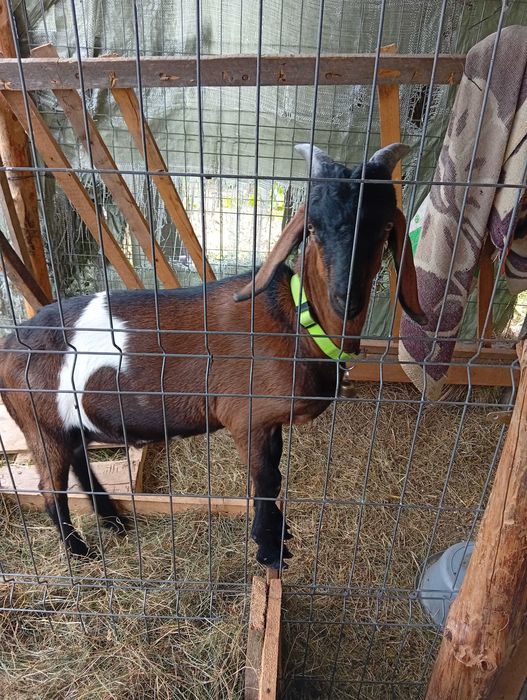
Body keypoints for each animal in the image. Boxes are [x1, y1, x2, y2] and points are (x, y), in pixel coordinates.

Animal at [0, 143, 425, 569]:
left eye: (385, 228)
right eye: (314, 229)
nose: (346, 297)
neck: (296, 323)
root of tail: (10, 343)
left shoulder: (271, 422)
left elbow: (275, 474)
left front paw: (278, 535)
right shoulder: (246, 417)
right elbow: (266, 480)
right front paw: (270, 549)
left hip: (66, 424)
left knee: (78, 465)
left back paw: (113, 521)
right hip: (40, 427)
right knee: (50, 488)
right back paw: (78, 549)